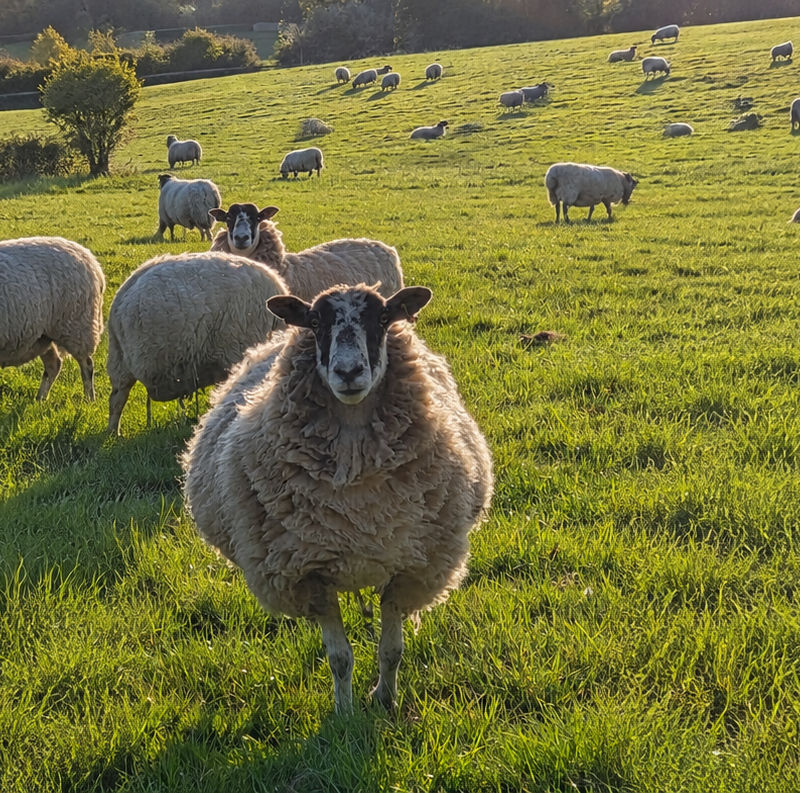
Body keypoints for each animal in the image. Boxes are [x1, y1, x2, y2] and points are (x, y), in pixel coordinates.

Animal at [0, 236, 105, 401]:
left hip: (77, 326)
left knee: (87, 365)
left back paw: (89, 400)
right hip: (44, 336)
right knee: (54, 365)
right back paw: (40, 399)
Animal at [107, 251, 288, 434]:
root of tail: (120, 300)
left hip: (118, 357)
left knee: (115, 398)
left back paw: (113, 432)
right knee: (118, 399)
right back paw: (115, 432)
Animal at [181, 282, 494, 713]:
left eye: (383, 317)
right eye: (315, 322)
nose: (348, 372)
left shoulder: (406, 567)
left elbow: (391, 651)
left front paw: (385, 700)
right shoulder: (310, 573)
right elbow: (339, 658)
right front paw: (344, 712)